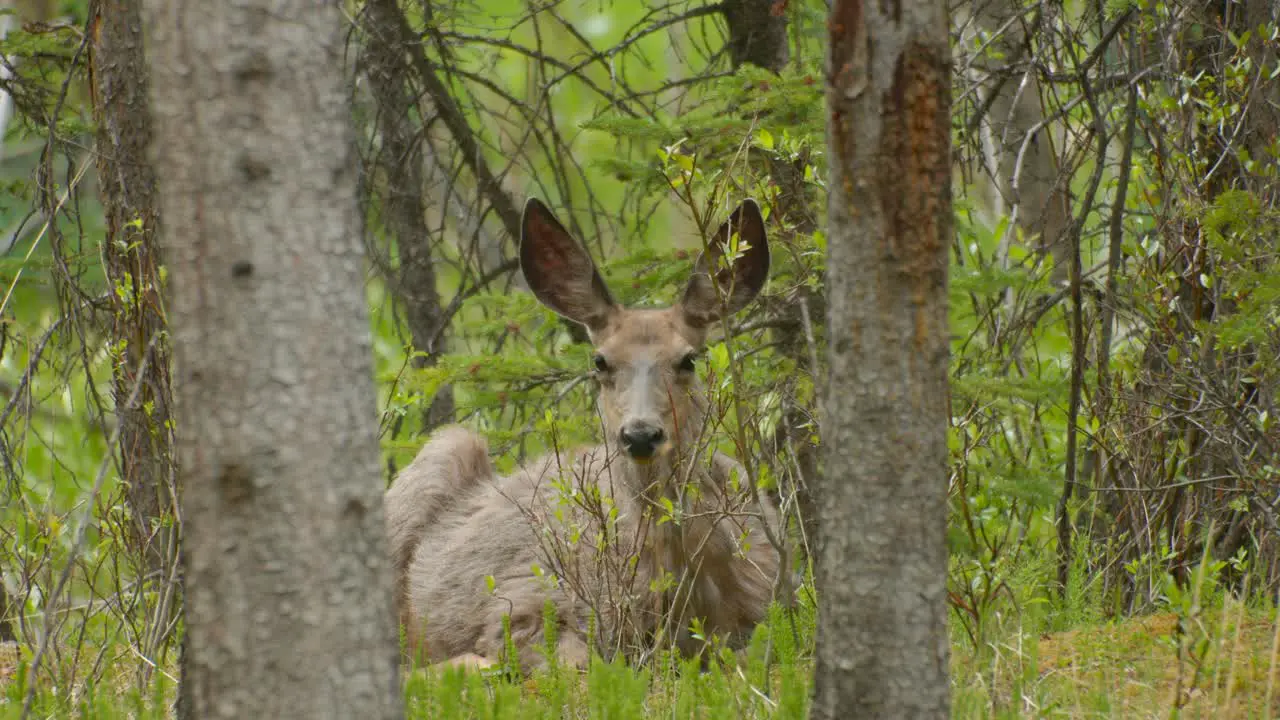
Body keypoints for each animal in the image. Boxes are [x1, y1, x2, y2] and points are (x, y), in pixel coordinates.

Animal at [378, 193, 778, 671]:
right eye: (600, 361)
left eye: (689, 359)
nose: (640, 435)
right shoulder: (525, 601)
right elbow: (573, 667)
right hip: (439, 455)